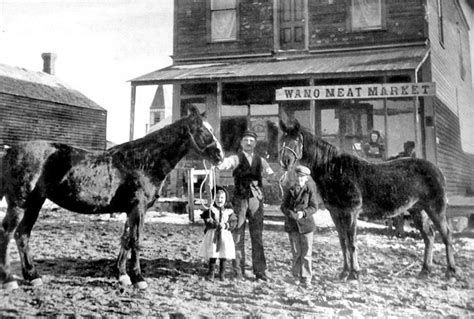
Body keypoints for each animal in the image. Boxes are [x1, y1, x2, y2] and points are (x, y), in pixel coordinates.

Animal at [0, 106, 224, 292]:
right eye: (203, 130)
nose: (220, 156)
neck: (143, 161)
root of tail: (10, 151)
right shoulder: (138, 209)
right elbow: (136, 241)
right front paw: (138, 278)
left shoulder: (130, 211)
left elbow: (125, 240)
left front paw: (122, 275)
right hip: (19, 204)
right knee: (8, 233)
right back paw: (9, 280)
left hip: (35, 204)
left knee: (22, 235)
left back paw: (32, 276)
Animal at [280, 121, 458, 282]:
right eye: (282, 138)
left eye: (297, 140)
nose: (285, 161)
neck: (334, 169)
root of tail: (437, 170)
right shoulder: (335, 213)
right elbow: (343, 242)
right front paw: (344, 272)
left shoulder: (351, 212)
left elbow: (351, 242)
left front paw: (354, 273)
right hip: (418, 210)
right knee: (429, 237)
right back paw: (425, 271)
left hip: (435, 209)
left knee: (446, 235)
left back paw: (451, 272)